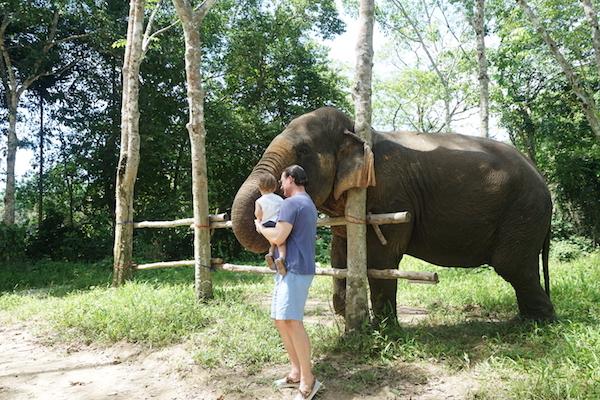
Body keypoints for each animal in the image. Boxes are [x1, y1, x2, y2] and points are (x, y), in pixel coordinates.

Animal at [231, 106, 556, 322]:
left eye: (302, 151)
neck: (358, 132)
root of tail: (542, 177)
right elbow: (340, 254)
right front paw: (345, 318)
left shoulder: (389, 195)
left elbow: (381, 260)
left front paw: (384, 330)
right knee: (520, 268)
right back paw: (526, 321)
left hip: (524, 211)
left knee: (513, 266)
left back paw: (537, 325)